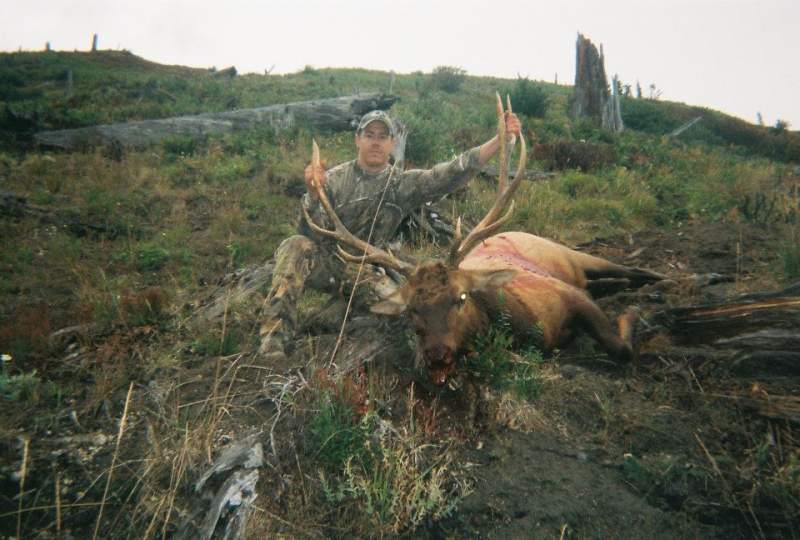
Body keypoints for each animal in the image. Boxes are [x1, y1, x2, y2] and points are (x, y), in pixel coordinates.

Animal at [304, 95, 664, 386]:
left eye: (461, 297)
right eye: (412, 310)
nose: (437, 356)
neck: (524, 328)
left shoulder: (568, 294)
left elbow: (621, 349)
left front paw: (634, 313)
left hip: (571, 254)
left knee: (632, 271)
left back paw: (657, 282)